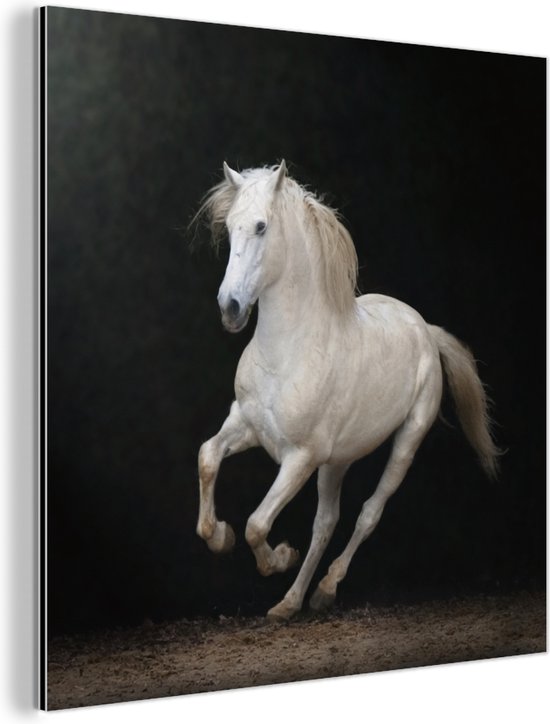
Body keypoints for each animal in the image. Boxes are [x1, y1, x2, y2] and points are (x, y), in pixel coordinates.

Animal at [194, 161, 499, 621]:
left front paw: (278, 557)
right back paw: (290, 602)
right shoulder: (246, 425)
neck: (288, 352)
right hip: (337, 462)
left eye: (262, 226)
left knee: (367, 514)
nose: (230, 308)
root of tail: (425, 329)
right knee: (326, 523)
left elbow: (257, 525)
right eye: (229, 227)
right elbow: (208, 458)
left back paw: (325, 588)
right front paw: (219, 536)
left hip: (405, 441)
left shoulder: (299, 458)